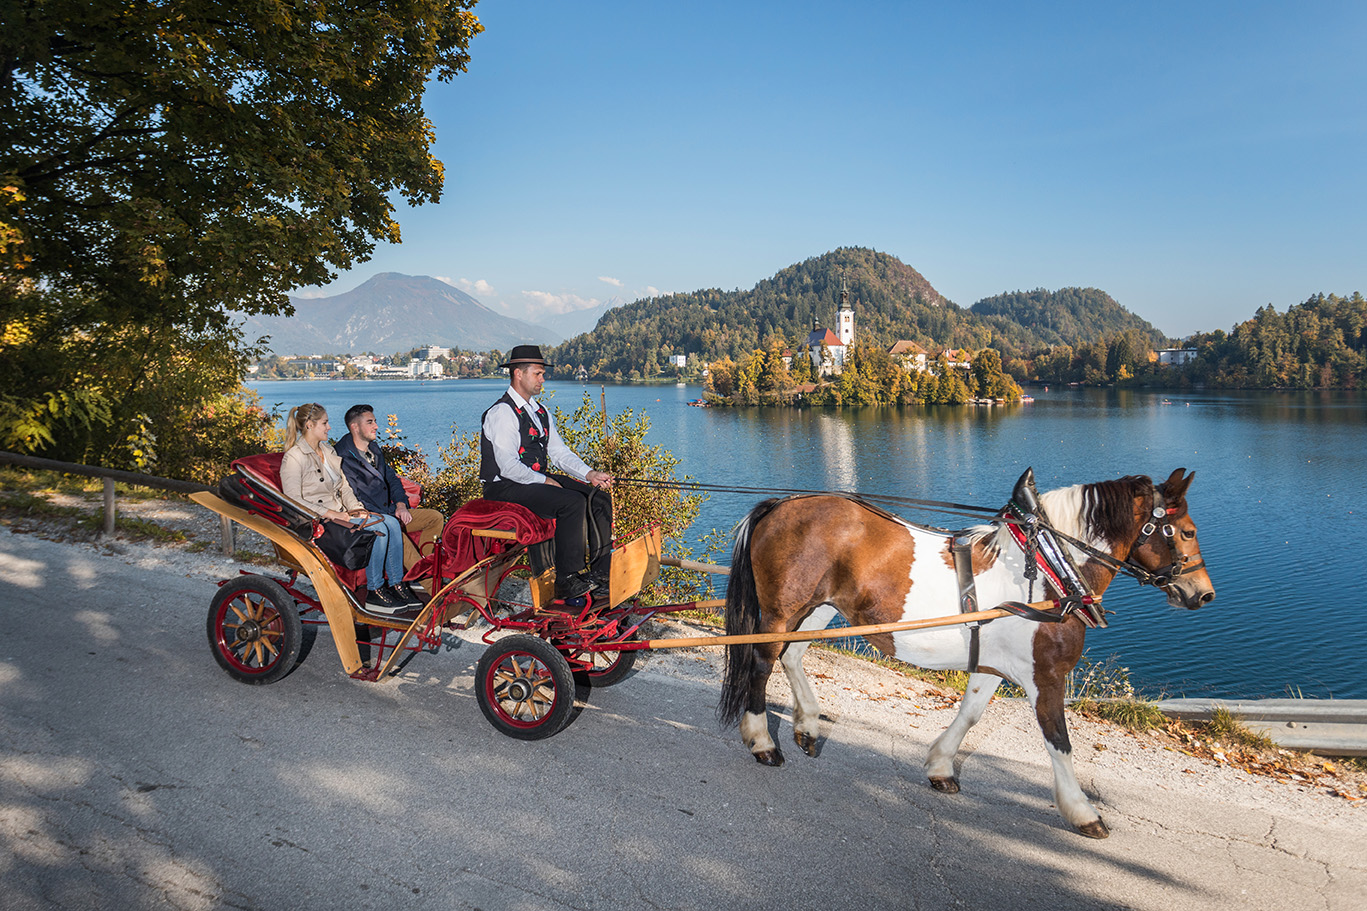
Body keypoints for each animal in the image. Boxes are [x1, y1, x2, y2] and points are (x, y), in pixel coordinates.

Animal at [721, 467, 1213, 837]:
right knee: (762, 665)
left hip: (820, 607)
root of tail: (780, 505)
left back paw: (806, 725)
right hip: (782, 611)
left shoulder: (994, 665)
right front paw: (1081, 811)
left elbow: (970, 714)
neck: (1049, 568)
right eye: (1187, 531)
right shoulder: (1047, 675)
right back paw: (763, 740)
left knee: (792, 657)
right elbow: (1059, 741)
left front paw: (940, 767)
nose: (1203, 593)